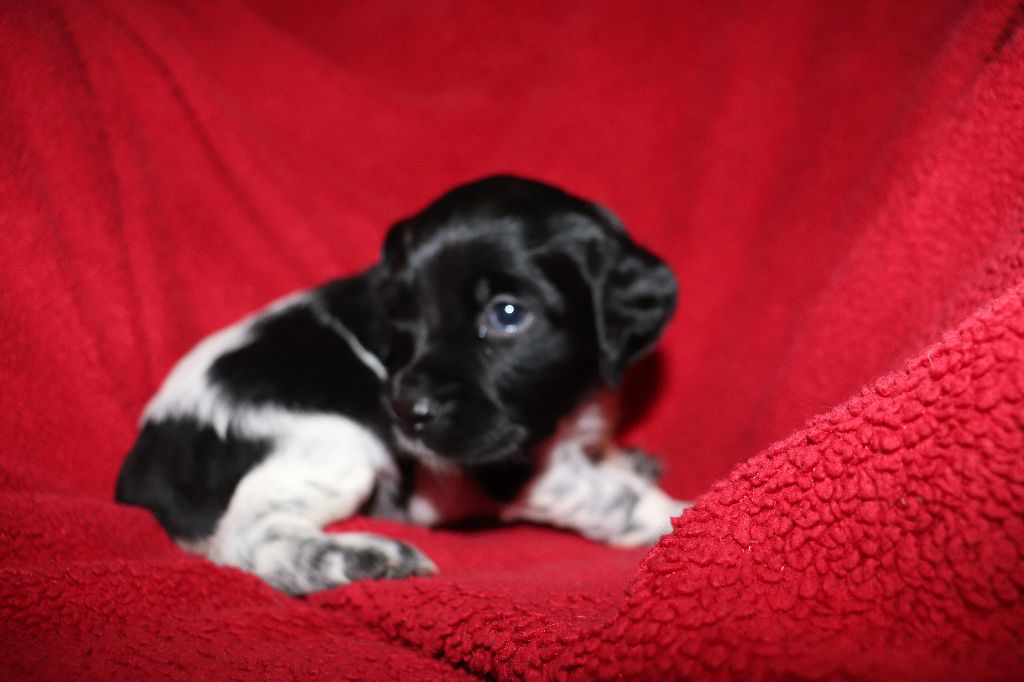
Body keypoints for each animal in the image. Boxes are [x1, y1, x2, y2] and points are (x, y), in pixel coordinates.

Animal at [115, 175, 688, 595]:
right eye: (400, 319)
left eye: (507, 315)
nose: (406, 411)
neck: (567, 407)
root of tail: (146, 459)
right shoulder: (506, 468)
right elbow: (615, 498)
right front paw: (677, 515)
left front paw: (628, 459)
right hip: (337, 442)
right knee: (243, 536)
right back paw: (360, 558)